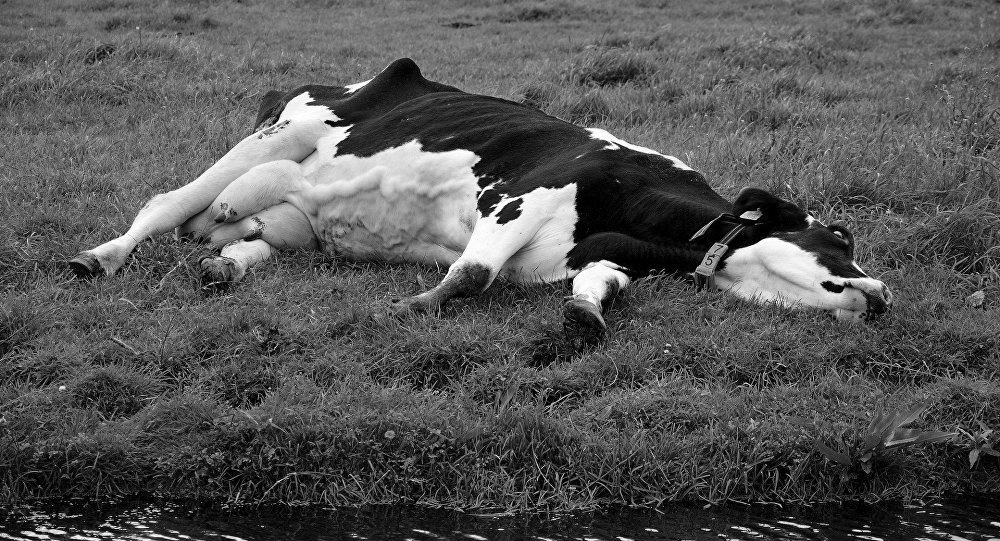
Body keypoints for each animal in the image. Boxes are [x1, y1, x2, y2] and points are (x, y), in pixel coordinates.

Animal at [69, 58, 892, 340]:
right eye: (841, 235)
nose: (883, 294)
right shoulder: (526, 193)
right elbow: (471, 274)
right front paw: (404, 308)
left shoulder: (595, 254)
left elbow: (600, 289)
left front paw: (585, 316)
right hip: (279, 135)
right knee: (167, 203)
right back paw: (98, 257)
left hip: (293, 221)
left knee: (247, 239)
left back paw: (224, 267)